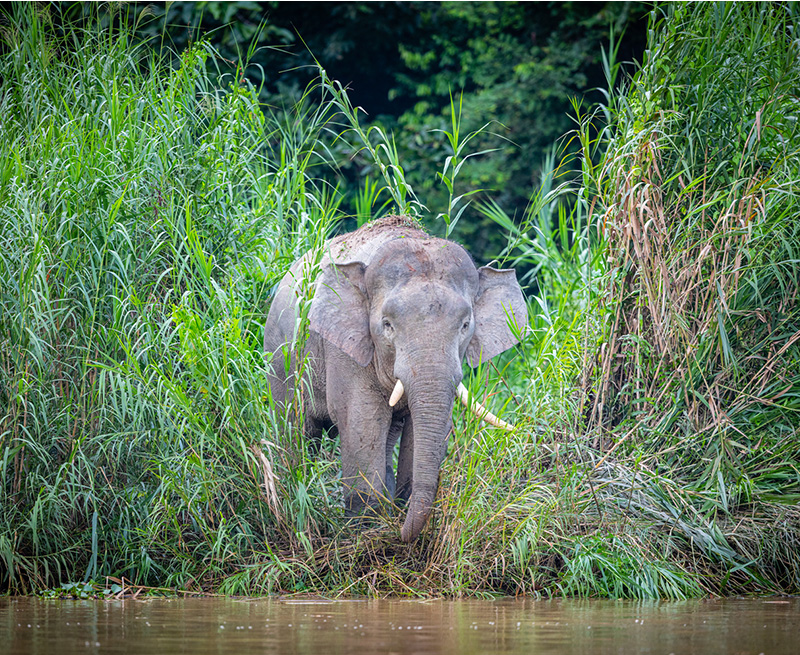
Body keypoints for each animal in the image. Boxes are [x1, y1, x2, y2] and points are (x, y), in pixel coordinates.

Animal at [262, 215, 524, 544]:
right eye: (387, 325)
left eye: (465, 325)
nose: (400, 534)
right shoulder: (346, 348)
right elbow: (361, 421)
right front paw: (366, 534)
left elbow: (420, 427)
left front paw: (398, 515)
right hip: (279, 358)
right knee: (296, 432)